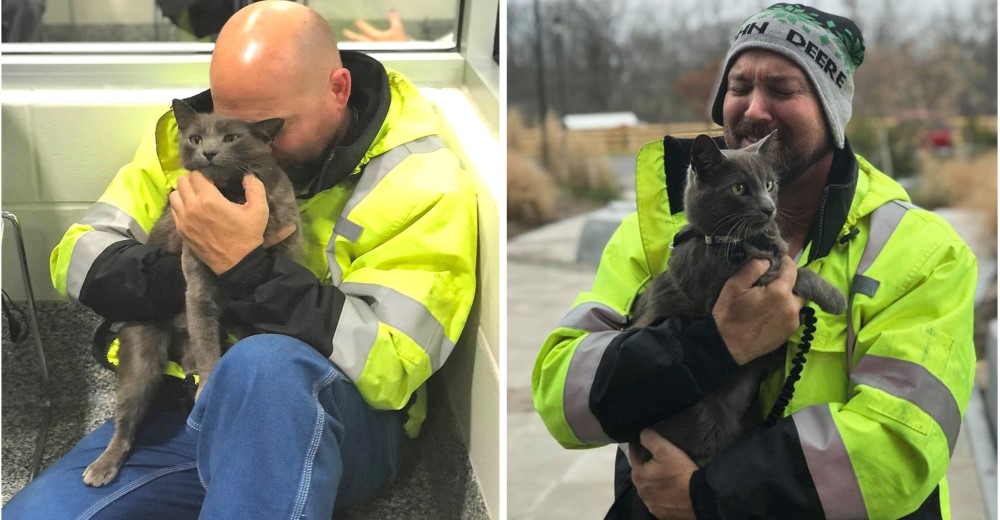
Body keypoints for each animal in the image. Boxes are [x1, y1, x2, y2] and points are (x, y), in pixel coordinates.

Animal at [82, 98, 302, 488]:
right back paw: (103, 465)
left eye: (231, 137)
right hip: (141, 350)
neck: (231, 193)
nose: (209, 152)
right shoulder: (196, 278)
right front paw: (209, 382)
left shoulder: (288, 240)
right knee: (128, 417)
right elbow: (205, 337)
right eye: (195, 138)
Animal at [632, 132, 844, 466]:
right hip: (703, 423)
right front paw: (835, 297)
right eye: (739, 188)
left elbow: (787, 263)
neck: (738, 241)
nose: (768, 208)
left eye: (769, 184)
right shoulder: (729, 284)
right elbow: (796, 271)